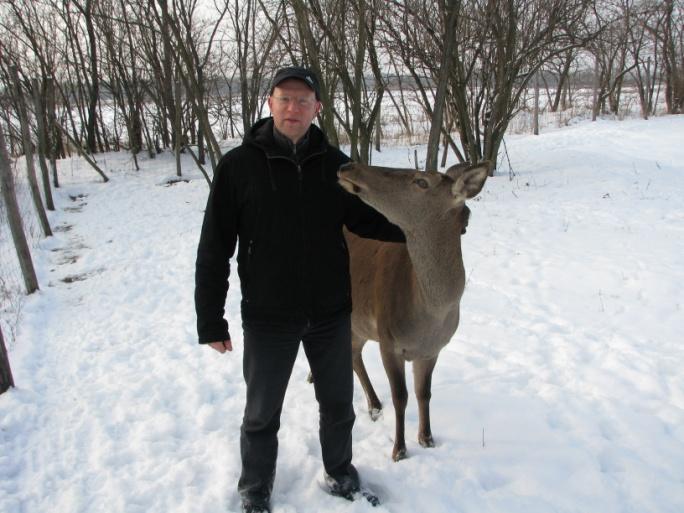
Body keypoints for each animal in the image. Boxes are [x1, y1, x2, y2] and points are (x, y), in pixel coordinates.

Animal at [336, 160, 486, 460]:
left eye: (421, 182)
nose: (348, 166)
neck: (429, 317)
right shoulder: (388, 341)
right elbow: (401, 397)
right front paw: (399, 449)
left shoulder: (432, 350)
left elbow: (423, 393)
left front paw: (427, 438)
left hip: (360, 322)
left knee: (354, 353)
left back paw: (373, 405)